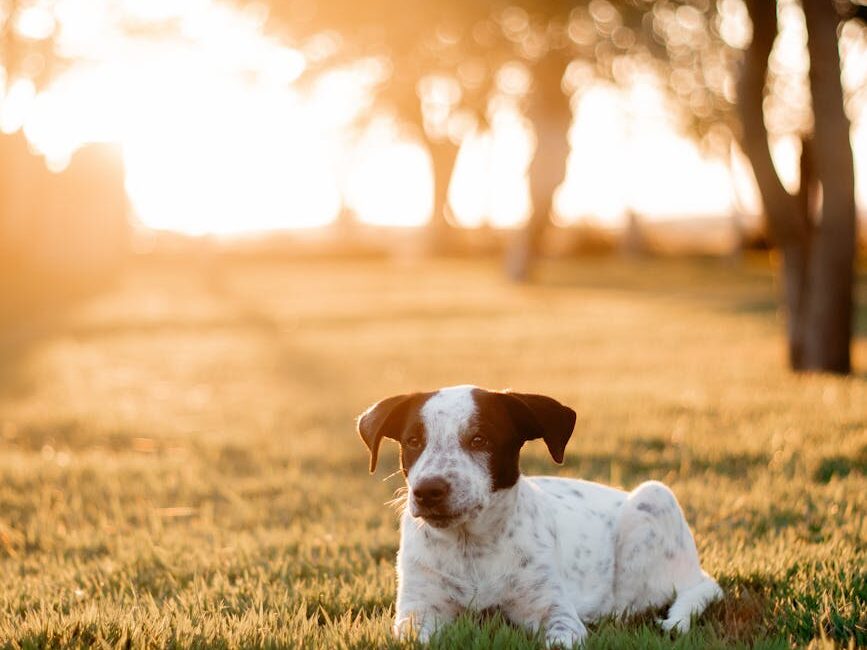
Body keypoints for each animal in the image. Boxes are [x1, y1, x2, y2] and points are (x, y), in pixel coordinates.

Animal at [356, 384, 724, 644]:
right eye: (413, 441)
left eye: (480, 439)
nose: (427, 491)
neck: (471, 548)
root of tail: (696, 571)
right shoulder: (417, 612)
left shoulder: (555, 613)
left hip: (654, 497)